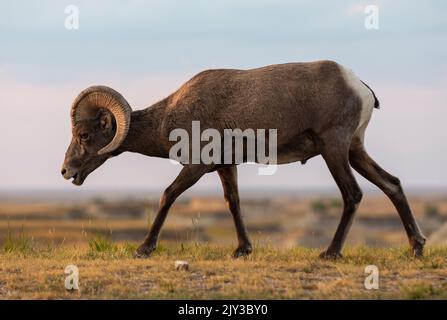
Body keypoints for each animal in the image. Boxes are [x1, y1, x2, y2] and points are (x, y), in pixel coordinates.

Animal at [61, 60, 426, 260]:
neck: (172, 114)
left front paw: (144, 248)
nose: (65, 171)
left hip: (334, 149)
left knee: (353, 194)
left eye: (83, 135)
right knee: (392, 185)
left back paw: (331, 253)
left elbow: (167, 196)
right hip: (354, 150)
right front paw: (242, 249)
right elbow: (233, 202)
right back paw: (416, 246)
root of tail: (359, 87)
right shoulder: (226, 166)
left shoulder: (196, 167)